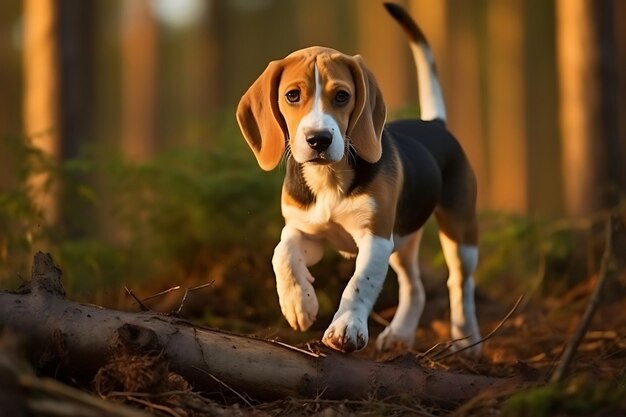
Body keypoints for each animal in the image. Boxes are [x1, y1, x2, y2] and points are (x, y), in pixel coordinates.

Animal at [236, 4, 480, 354]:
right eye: (292, 95)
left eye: (341, 96)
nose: (319, 139)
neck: (328, 176)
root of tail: (435, 124)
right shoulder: (306, 230)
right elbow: (281, 252)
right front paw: (299, 303)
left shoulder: (375, 238)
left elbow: (358, 284)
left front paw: (346, 327)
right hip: (401, 239)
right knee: (415, 287)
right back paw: (399, 334)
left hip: (458, 233)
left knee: (460, 285)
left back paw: (468, 339)